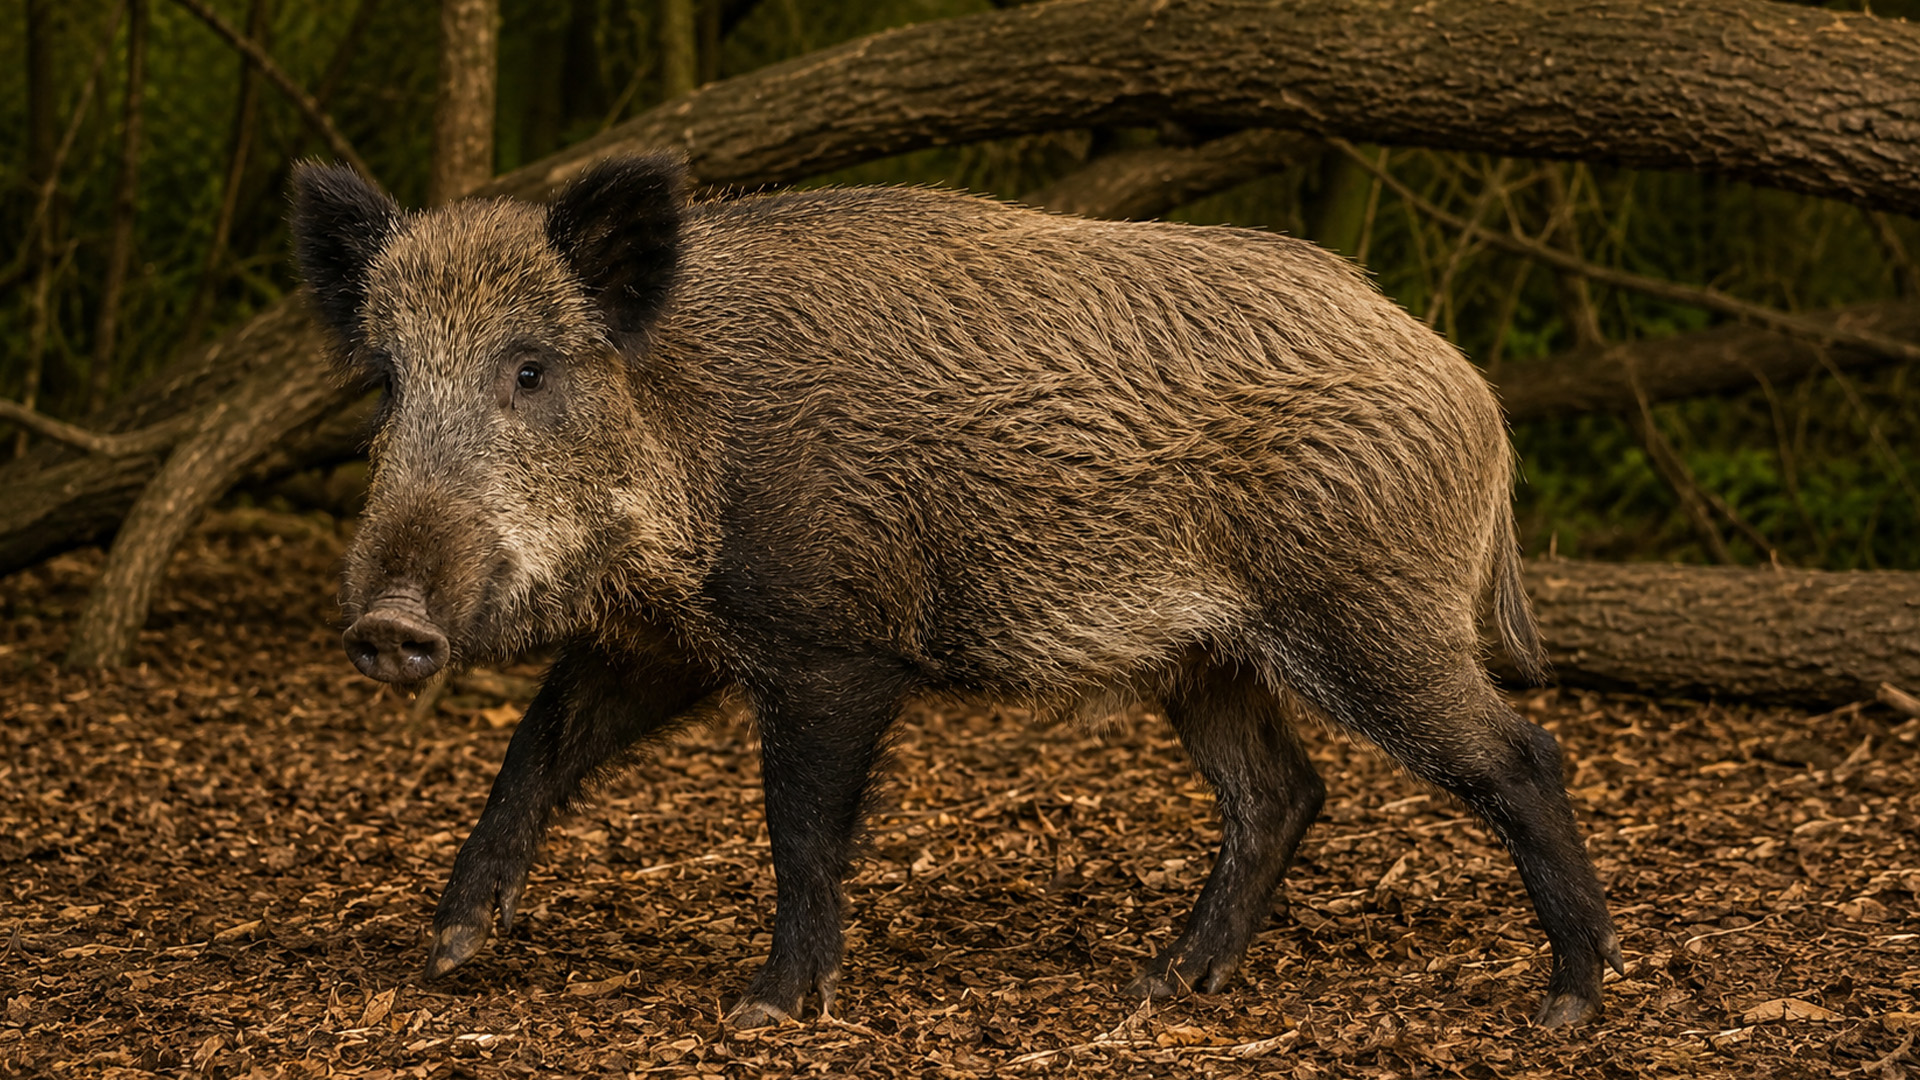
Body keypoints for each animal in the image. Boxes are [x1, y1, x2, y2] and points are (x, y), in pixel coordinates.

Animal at [288, 154, 1623, 1029]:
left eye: (529, 369)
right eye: (388, 382)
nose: (389, 627)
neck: (694, 419)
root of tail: (1472, 390)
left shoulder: (831, 643)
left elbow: (800, 825)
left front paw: (764, 1014)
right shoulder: (672, 640)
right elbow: (541, 743)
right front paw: (452, 953)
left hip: (1372, 614)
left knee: (1520, 757)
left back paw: (1562, 1009)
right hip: (1209, 656)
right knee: (1281, 793)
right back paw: (1160, 988)